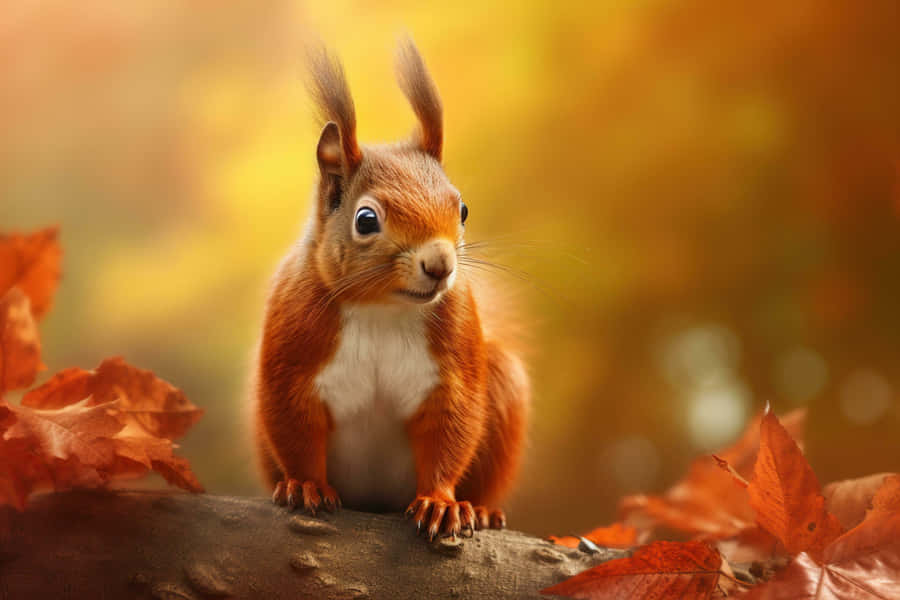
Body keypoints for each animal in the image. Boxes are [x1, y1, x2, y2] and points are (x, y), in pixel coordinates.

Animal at [252, 39, 530, 540]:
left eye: (462, 209)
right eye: (366, 220)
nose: (440, 265)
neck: (382, 309)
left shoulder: (455, 351)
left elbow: (452, 426)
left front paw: (441, 503)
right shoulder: (291, 347)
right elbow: (294, 426)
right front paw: (305, 485)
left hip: (502, 381)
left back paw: (481, 509)